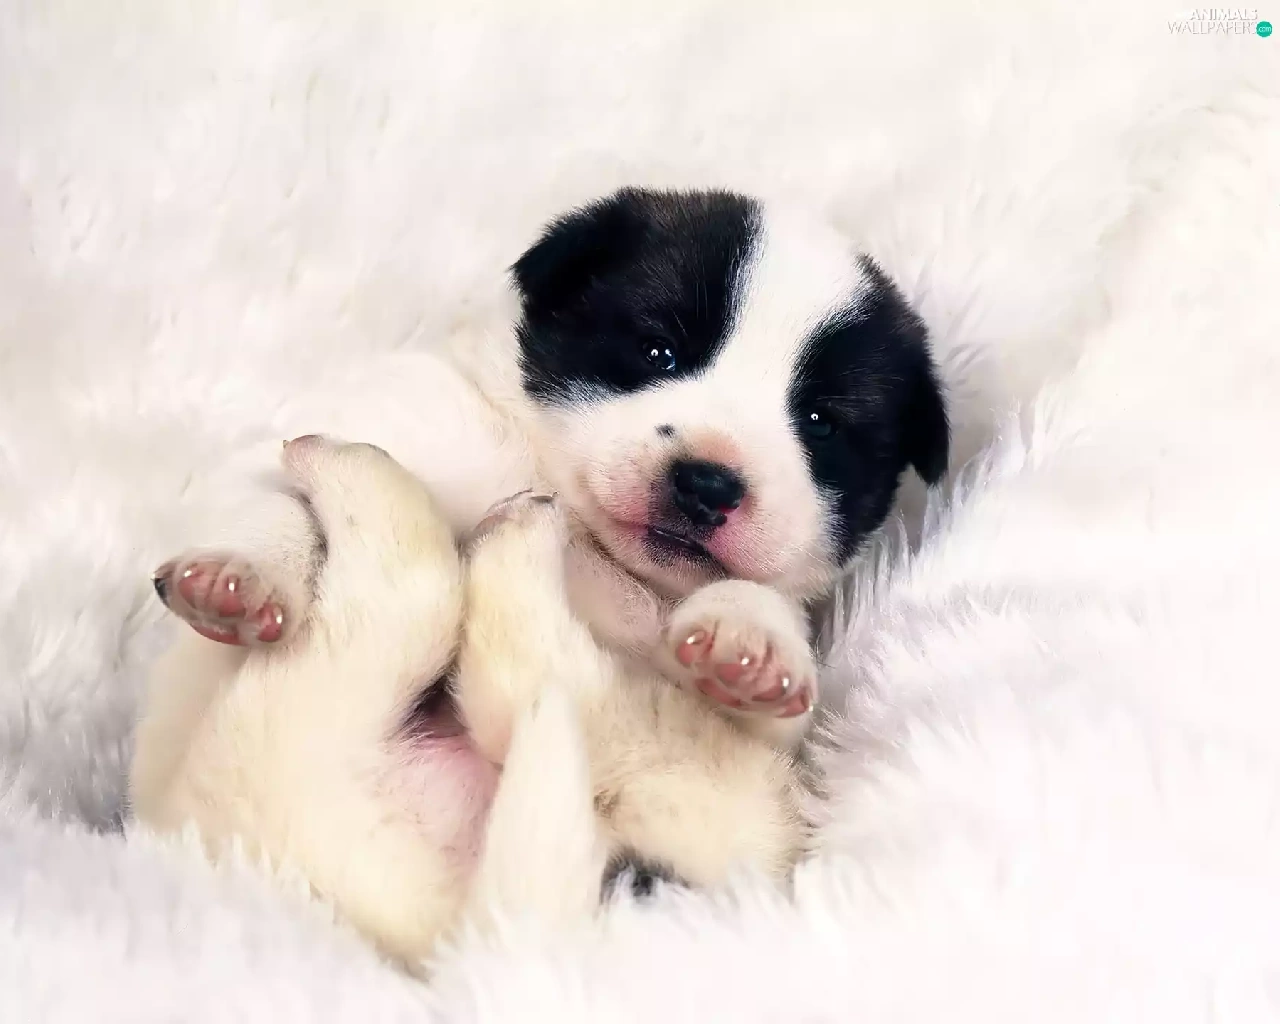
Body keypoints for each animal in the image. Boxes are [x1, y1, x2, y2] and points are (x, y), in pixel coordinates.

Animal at [149, 186, 949, 750]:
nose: (707, 482)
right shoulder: (379, 431)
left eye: (819, 422)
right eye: (658, 352)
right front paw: (241, 574)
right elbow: (275, 497)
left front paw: (747, 638)